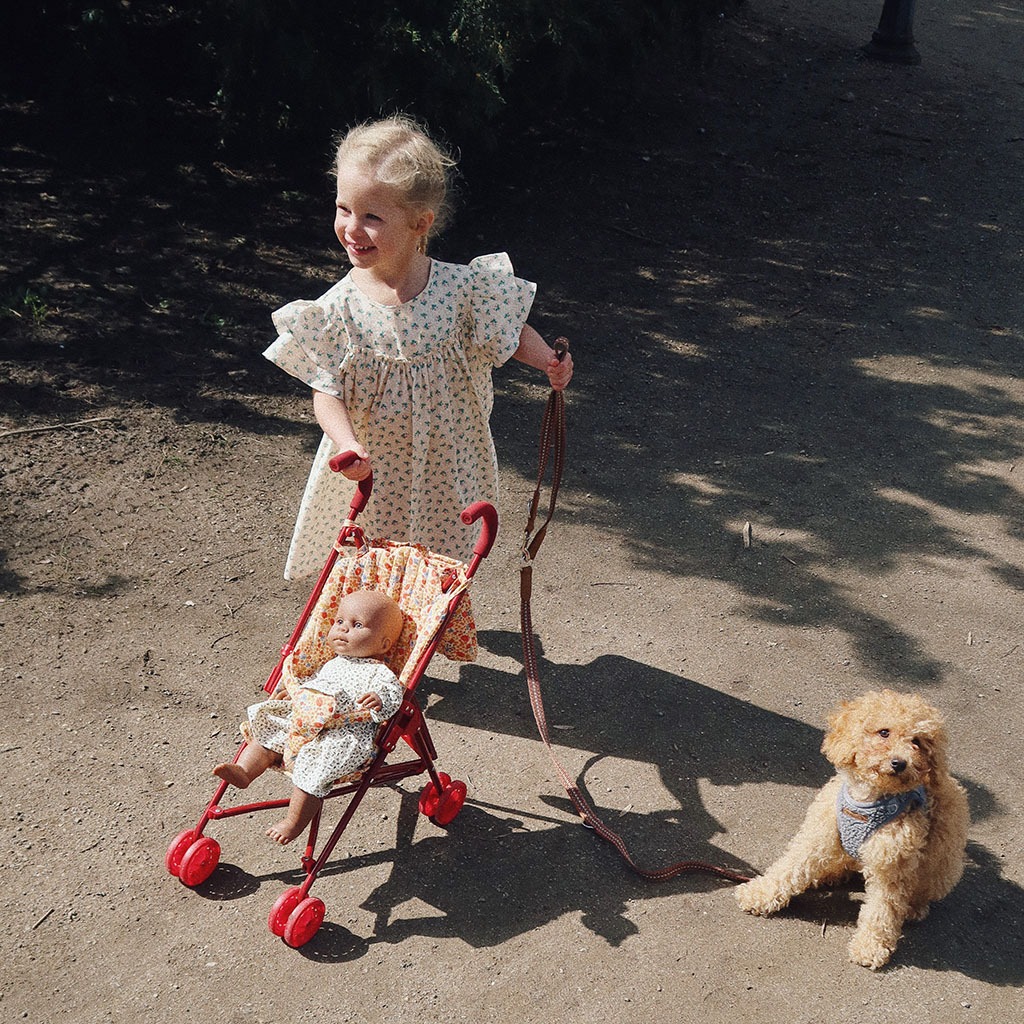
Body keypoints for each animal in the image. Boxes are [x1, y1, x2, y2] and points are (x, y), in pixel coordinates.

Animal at [737, 688, 966, 966]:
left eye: (918, 742)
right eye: (884, 732)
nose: (900, 763)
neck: (867, 801)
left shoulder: (891, 864)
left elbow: (882, 909)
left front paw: (871, 946)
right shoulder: (818, 835)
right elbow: (789, 867)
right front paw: (759, 894)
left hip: (943, 863)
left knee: (922, 890)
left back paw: (913, 908)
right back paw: (828, 874)